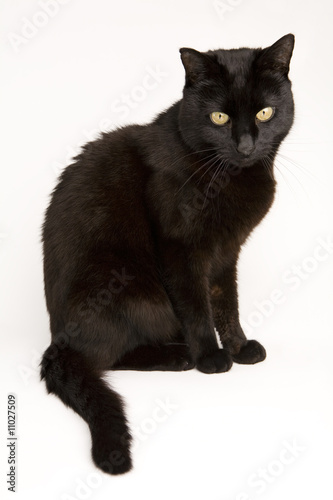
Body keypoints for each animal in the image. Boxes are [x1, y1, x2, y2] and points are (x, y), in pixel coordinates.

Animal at [40, 34, 294, 472]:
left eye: (266, 112)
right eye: (219, 118)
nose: (246, 146)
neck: (231, 178)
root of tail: (58, 338)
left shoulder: (226, 253)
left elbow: (226, 302)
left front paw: (239, 346)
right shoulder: (180, 248)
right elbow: (195, 306)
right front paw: (211, 356)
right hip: (133, 290)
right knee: (107, 355)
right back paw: (179, 356)